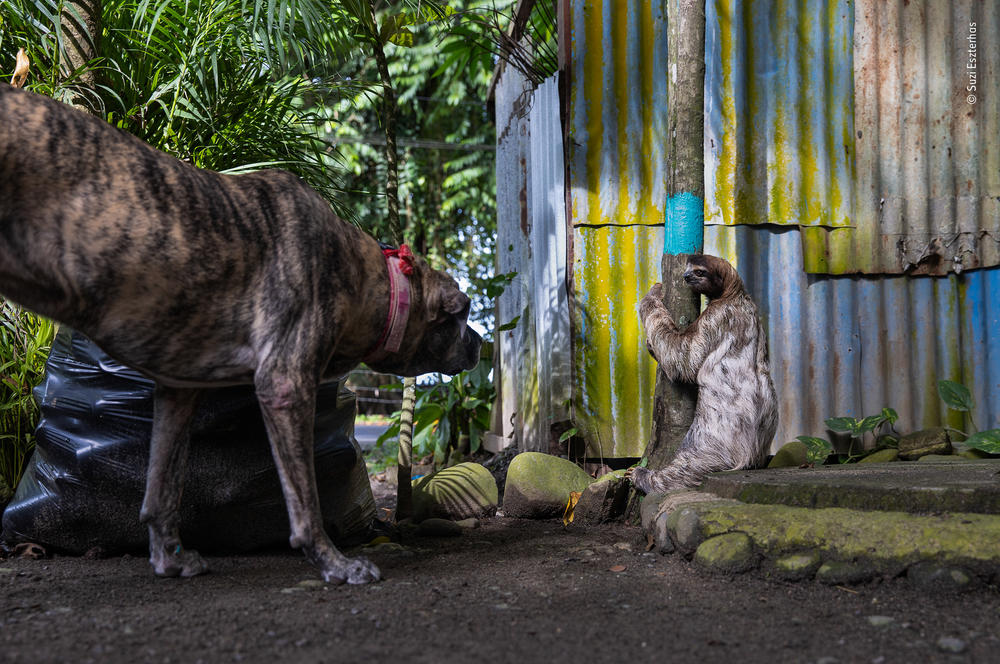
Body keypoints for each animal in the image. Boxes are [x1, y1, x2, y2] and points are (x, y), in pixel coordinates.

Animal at [0, 81, 484, 580]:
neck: (363, 274)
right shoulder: (285, 385)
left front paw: (169, 557)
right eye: (463, 313)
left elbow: (162, 486)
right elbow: (304, 498)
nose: (481, 344)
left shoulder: (177, 393)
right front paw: (333, 562)